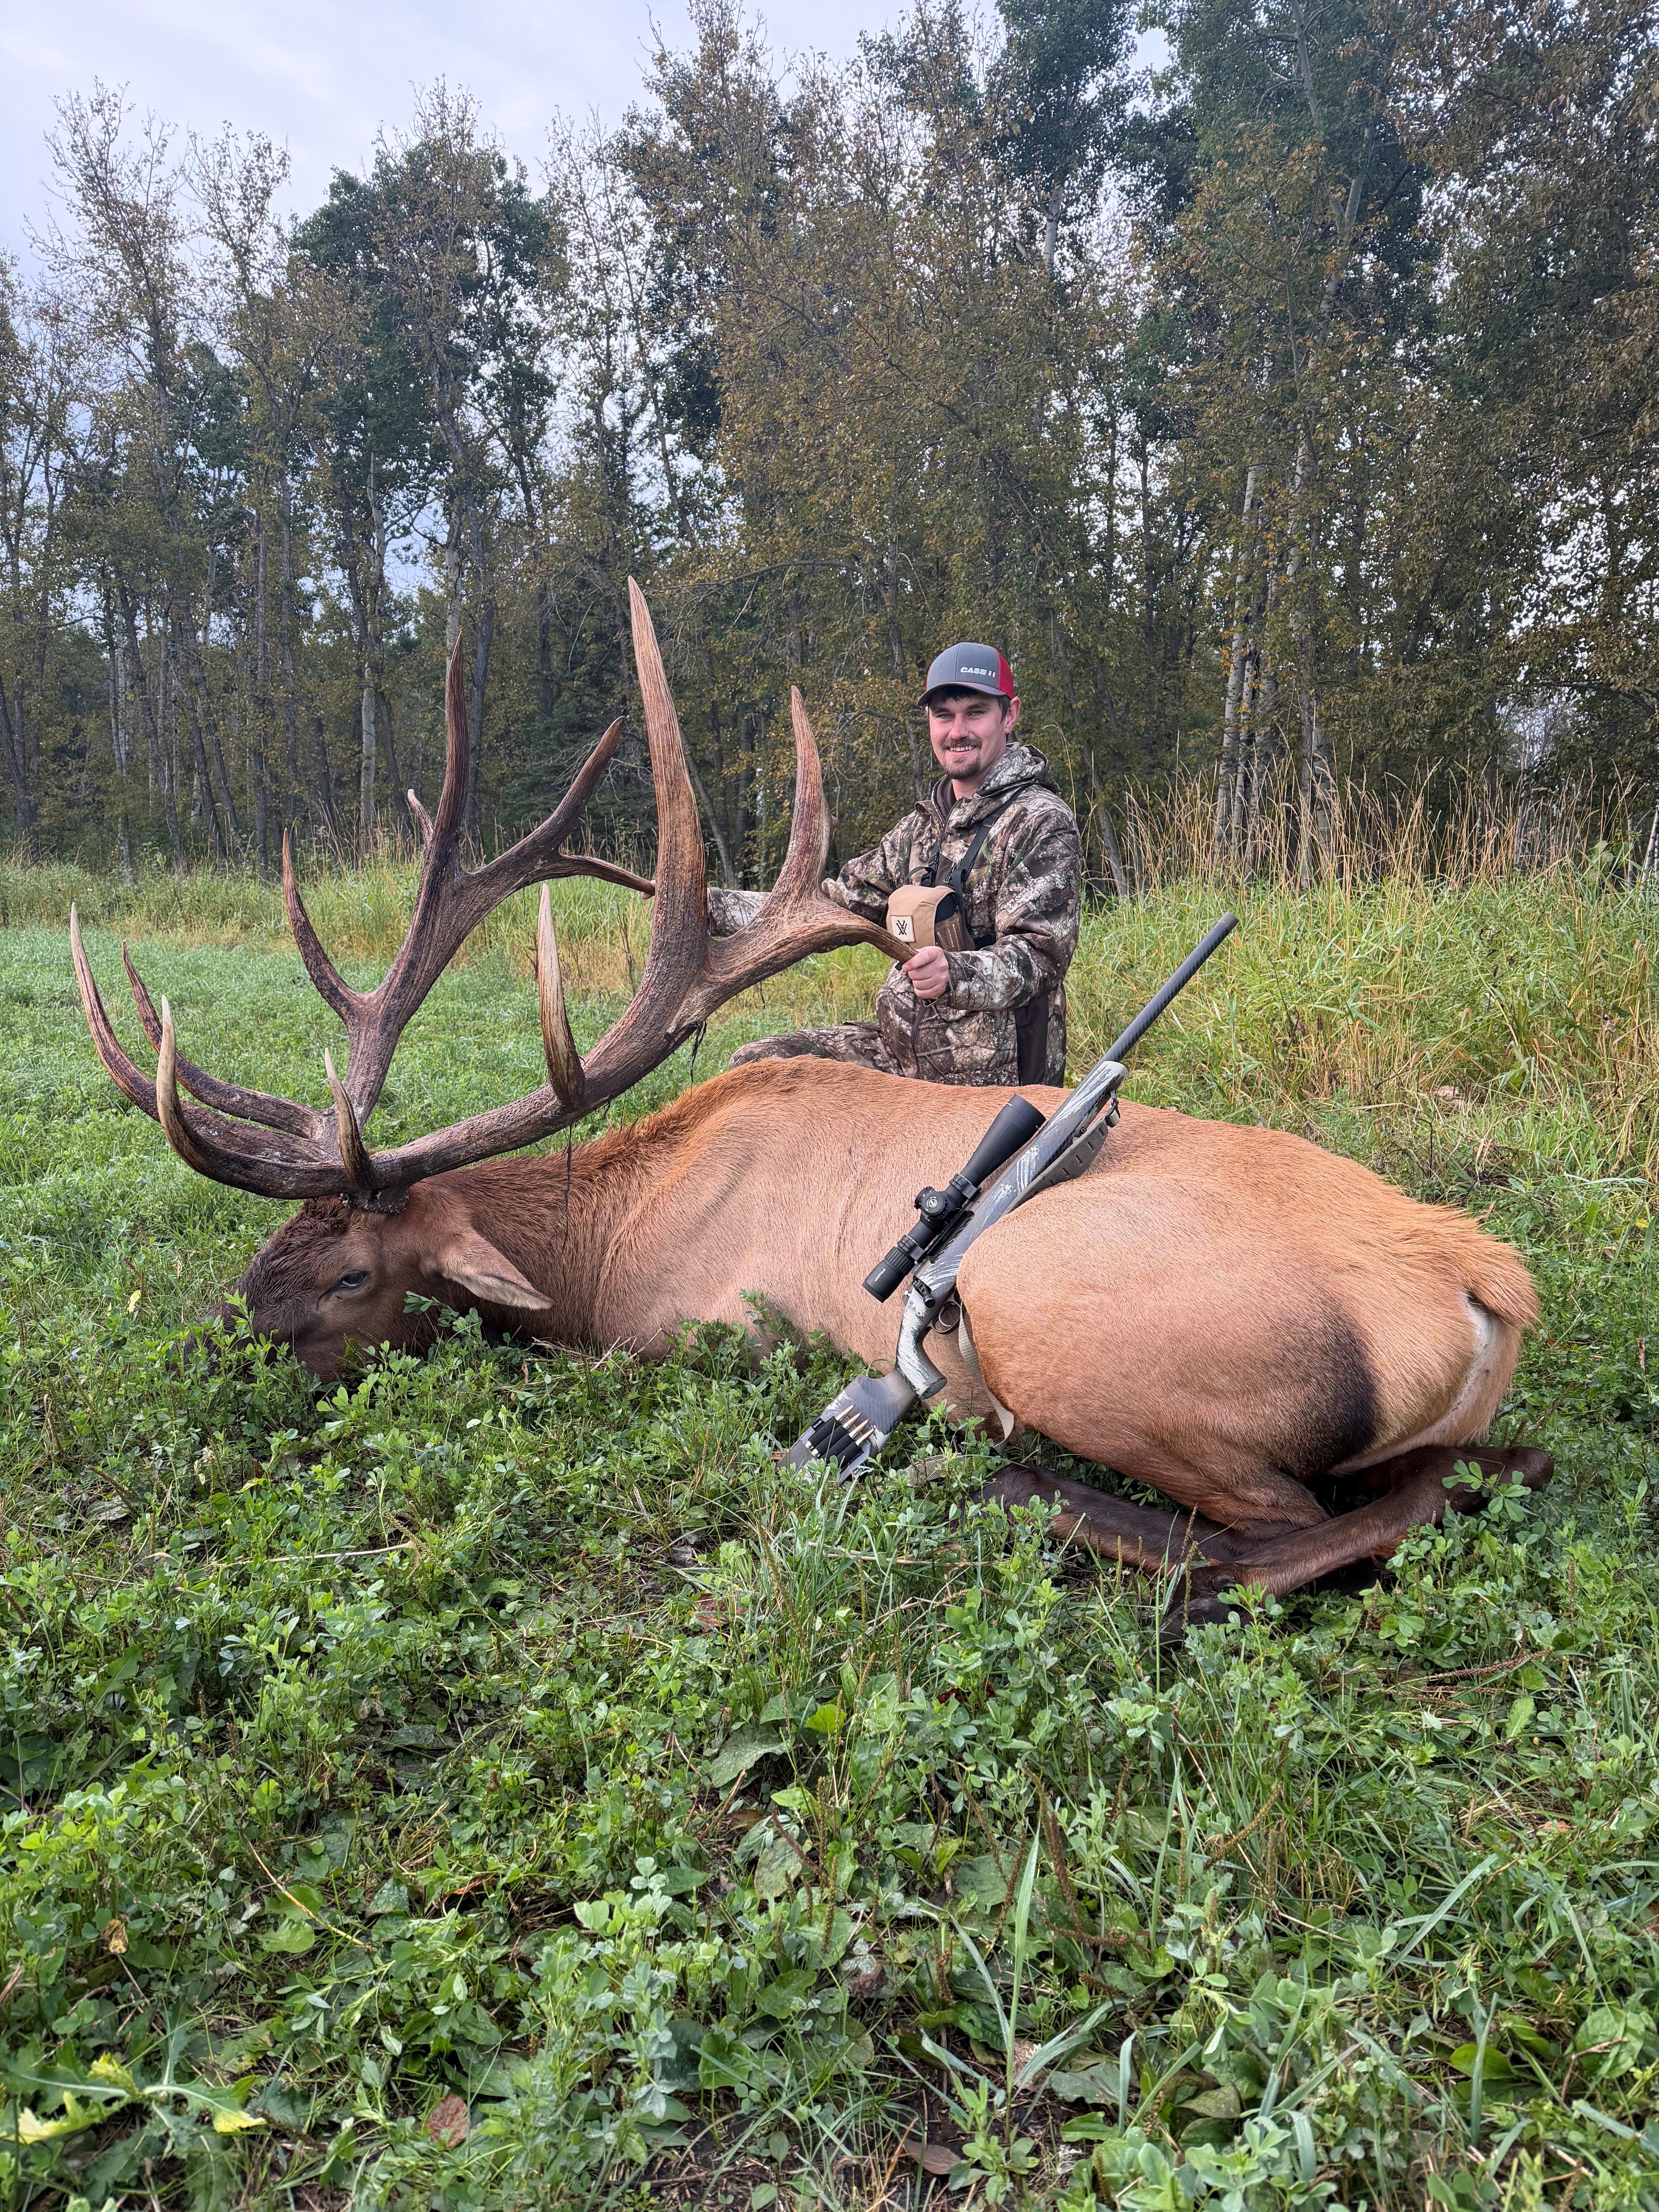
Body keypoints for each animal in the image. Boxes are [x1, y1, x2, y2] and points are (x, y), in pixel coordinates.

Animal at [71, 582, 1551, 1634]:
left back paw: (1014, 1488)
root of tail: (1486, 1283)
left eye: (352, 1274)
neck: (611, 1237)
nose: (213, 1344)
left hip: (1067, 1320)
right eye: (269, 1249)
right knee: (1480, 1467)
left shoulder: (706, 1326)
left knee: (1301, 1521)